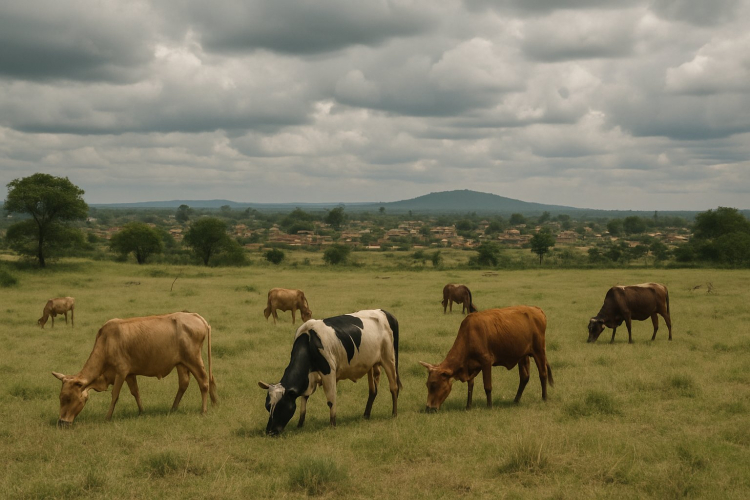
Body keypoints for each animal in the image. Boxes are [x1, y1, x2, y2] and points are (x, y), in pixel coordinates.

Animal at [52, 312, 217, 427]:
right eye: (60, 397)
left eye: (68, 398)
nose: (61, 422)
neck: (107, 341)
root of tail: (196, 316)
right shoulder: (130, 374)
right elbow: (135, 392)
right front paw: (141, 411)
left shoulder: (121, 372)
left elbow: (115, 395)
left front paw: (107, 417)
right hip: (181, 364)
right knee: (184, 383)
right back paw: (174, 408)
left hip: (193, 360)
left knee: (204, 382)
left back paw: (203, 410)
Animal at [258, 309, 402, 435]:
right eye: (267, 406)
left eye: (281, 406)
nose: (270, 432)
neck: (310, 342)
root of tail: (386, 313)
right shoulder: (309, 379)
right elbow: (304, 399)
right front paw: (300, 424)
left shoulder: (329, 374)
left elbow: (331, 400)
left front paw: (333, 425)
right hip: (371, 365)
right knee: (373, 390)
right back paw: (366, 415)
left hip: (389, 359)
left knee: (394, 387)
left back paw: (394, 414)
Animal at [420, 306, 553, 412]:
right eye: (427, 384)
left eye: (434, 384)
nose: (428, 408)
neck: (469, 335)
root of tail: (537, 309)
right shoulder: (470, 367)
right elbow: (470, 386)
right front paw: (468, 406)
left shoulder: (486, 362)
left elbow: (487, 386)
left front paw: (489, 406)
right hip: (523, 356)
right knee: (524, 377)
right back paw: (515, 400)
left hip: (539, 351)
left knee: (543, 373)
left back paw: (544, 398)